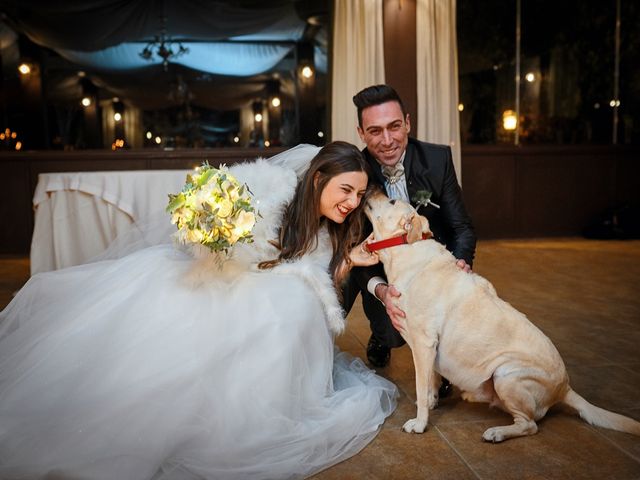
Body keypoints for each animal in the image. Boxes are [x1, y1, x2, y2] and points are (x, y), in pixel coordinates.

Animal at [364, 191, 640, 442]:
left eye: (390, 200)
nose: (371, 186)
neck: (405, 250)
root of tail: (565, 387)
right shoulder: (428, 349)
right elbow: (431, 380)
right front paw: (433, 402)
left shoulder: (423, 344)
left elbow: (421, 389)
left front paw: (420, 423)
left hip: (506, 374)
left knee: (530, 425)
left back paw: (497, 432)